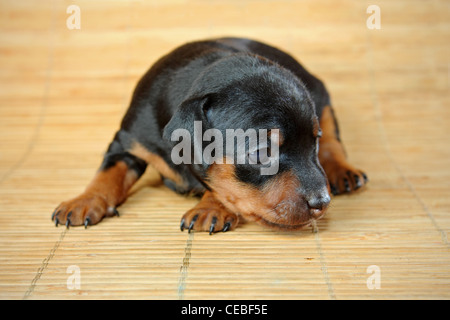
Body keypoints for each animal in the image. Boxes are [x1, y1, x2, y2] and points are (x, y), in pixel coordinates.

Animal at [51, 37, 370, 234]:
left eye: (312, 142)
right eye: (261, 153)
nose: (322, 202)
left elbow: (219, 183)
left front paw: (209, 208)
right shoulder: (129, 140)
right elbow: (109, 171)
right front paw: (84, 200)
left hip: (322, 94)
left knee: (333, 137)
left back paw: (343, 171)